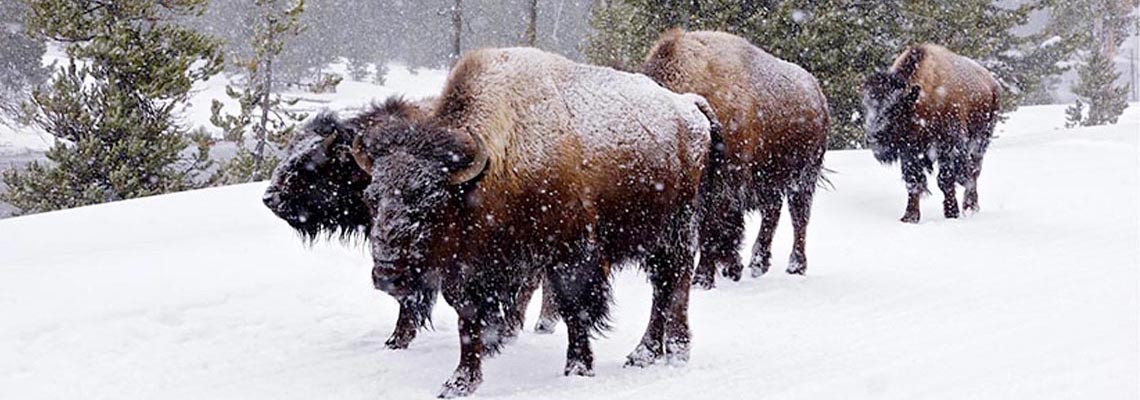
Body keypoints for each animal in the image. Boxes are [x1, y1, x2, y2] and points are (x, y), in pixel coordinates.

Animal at [353, 47, 720, 398]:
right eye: (371, 198)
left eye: (432, 202)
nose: (387, 276)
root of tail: (689, 106)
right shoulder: (474, 270)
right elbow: (468, 321)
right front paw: (460, 382)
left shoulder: (570, 255)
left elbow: (575, 311)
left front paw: (577, 368)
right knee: (665, 288)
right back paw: (654, 354)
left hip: (674, 232)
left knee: (671, 286)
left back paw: (663, 353)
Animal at [642, 30, 829, 288]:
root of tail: (817, 94)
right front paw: (731, 267)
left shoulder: (722, 185)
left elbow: (711, 229)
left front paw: (703, 278)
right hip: (769, 179)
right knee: (773, 212)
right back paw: (758, 264)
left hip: (802, 177)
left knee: (799, 217)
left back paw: (795, 267)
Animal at [861, 46, 998, 225]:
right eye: (866, 106)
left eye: (894, 109)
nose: (873, 136)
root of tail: (992, 83)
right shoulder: (909, 152)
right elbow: (913, 181)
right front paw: (909, 217)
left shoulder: (948, 148)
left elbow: (946, 180)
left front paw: (951, 213)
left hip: (980, 141)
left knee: (973, 173)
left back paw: (970, 207)